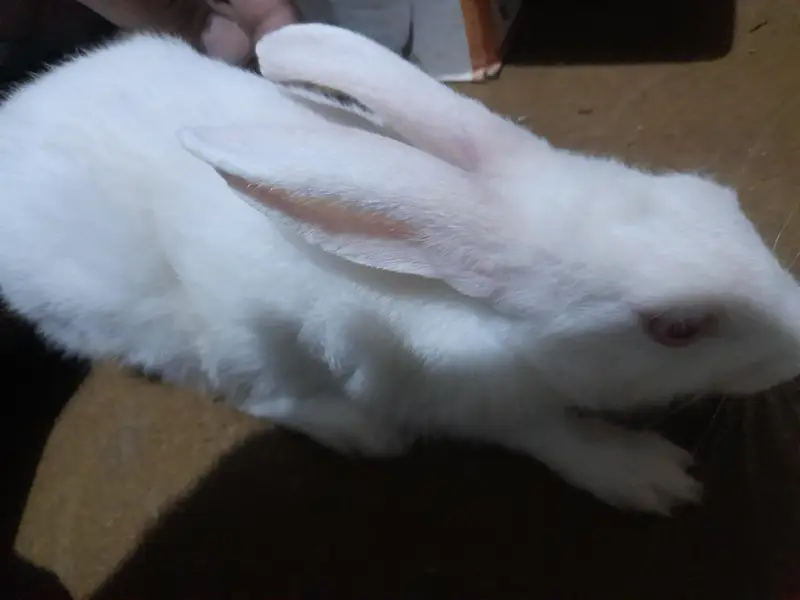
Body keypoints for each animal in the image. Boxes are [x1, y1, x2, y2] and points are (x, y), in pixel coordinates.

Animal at [2, 23, 800, 515]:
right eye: (678, 328)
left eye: (717, 197)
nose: (797, 342)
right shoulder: (462, 397)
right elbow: (551, 433)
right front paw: (647, 475)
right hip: (217, 336)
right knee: (252, 392)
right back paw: (360, 433)